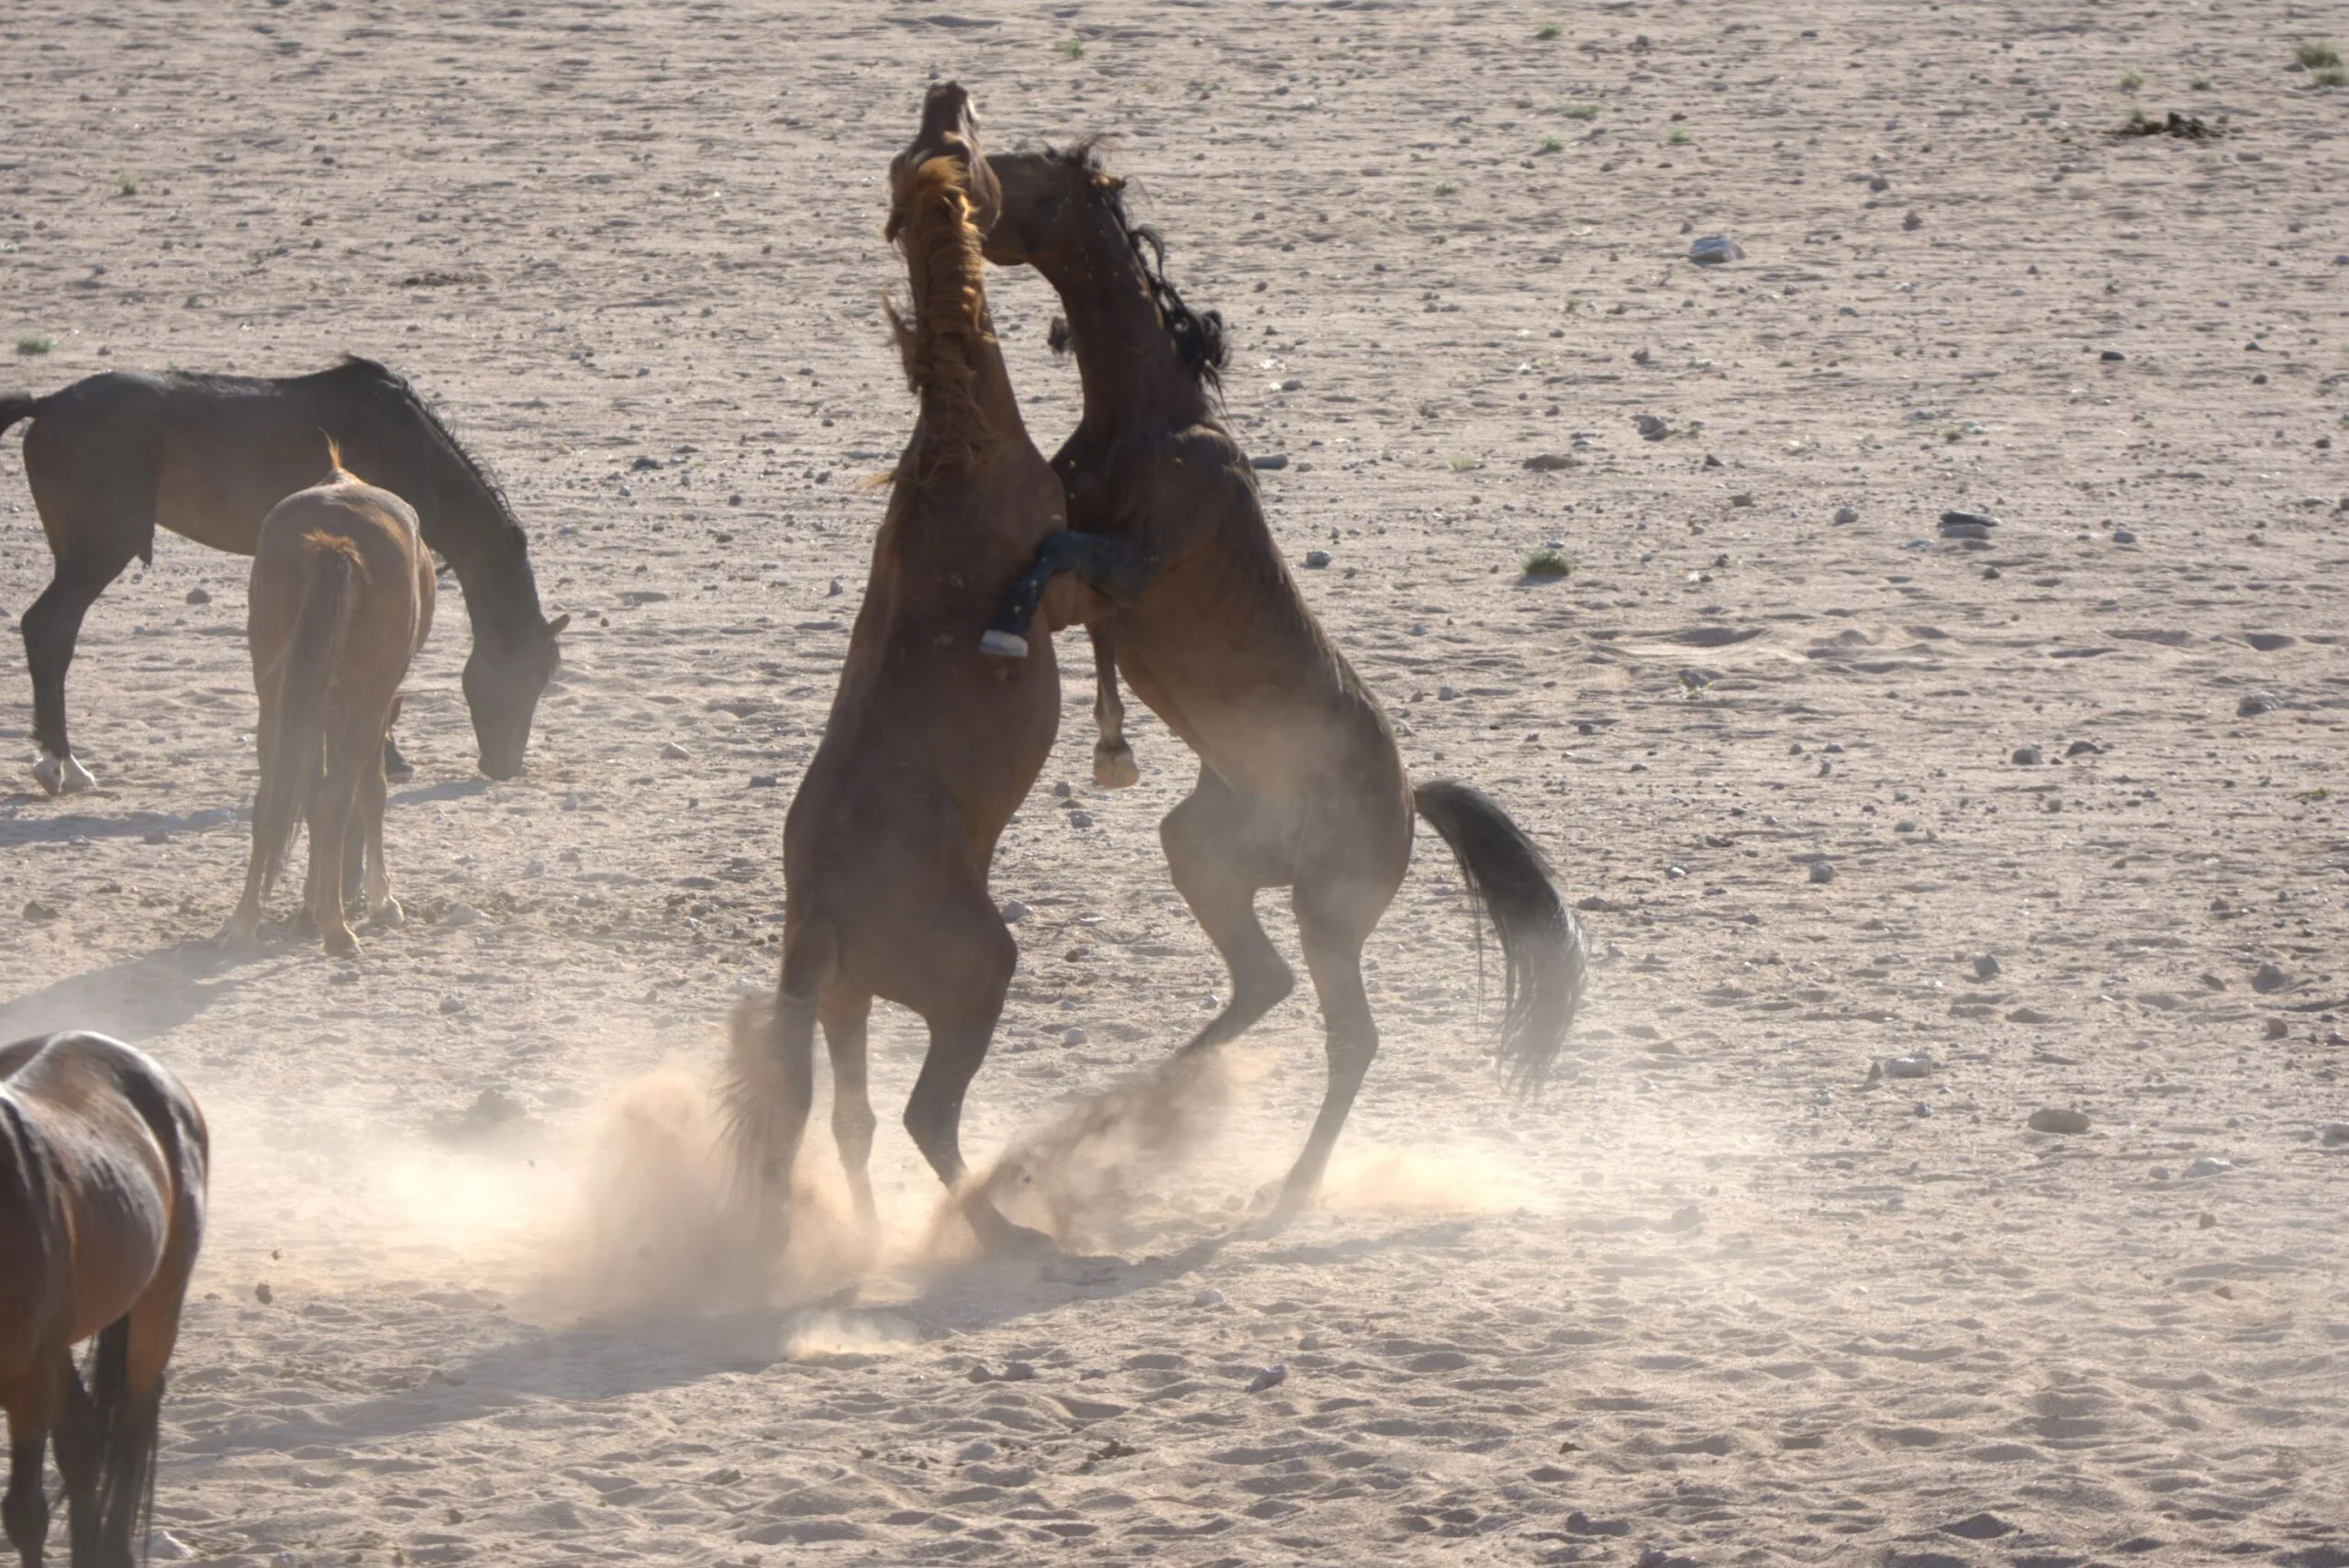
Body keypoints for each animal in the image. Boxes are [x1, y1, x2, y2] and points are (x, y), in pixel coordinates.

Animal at [0, 358, 566, 795]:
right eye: (530, 677)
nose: (503, 767)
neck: (412, 451)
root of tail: (48, 404)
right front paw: (391, 755)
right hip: (98, 552)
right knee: (48, 627)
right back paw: (63, 765)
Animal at [1, 1030, 209, 1568]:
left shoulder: (30, 1376)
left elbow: (26, 1514)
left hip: (158, 1305)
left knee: (131, 1423)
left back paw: (114, 1549)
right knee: (84, 1441)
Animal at [220, 447, 434, 957]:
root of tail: (333, 538)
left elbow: (307, 794)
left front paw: (308, 909)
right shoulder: (373, 708)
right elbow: (368, 793)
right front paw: (379, 899)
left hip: (276, 700)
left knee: (274, 795)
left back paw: (246, 921)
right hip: (366, 701)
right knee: (336, 795)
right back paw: (338, 929)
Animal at [721, 84, 1080, 1258]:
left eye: (925, 141)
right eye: (964, 144)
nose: (943, 86)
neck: (958, 453)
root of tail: (824, 903)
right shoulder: (1062, 585)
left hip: (844, 1001)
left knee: (849, 1117)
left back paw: (871, 1235)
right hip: (973, 975)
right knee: (924, 1115)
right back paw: (1005, 1229)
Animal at [976, 143, 1590, 1220]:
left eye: (1031, 170)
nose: (966, 192)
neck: (1152, 420)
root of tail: (1409, 799)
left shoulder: (1127, 567)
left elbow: (1051, 550)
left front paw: (1001, 630)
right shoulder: (1095, 599)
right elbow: (1044, 553)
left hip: (1327, 912)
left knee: (1350, 1034)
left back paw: (1289, 1189)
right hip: (1205, 851)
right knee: (1263, 984)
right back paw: (1134, 1112)